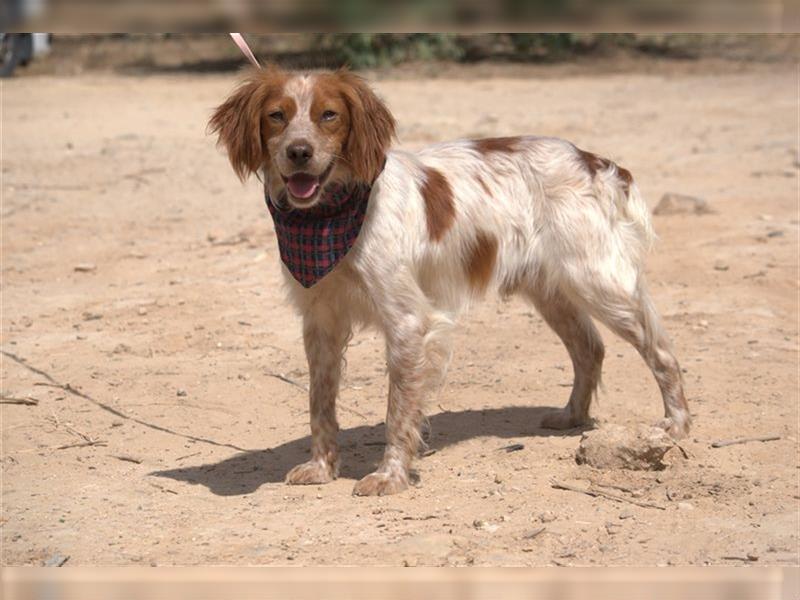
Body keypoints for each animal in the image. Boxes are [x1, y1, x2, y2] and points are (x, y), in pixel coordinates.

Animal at [209, 65, 692, 496]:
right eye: (277, 115)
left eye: (329, 115)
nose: (299, 152)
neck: (333, 215)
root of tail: (594, 161)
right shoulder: (320, 321)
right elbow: (320, 402)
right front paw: (322, 467)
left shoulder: (407, 322)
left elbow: (398, 410)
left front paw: (391, 476)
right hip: (550, 289)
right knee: (590, 348)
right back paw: (571, 416)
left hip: (599, 282)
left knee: (662, 352)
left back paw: (677, 423)